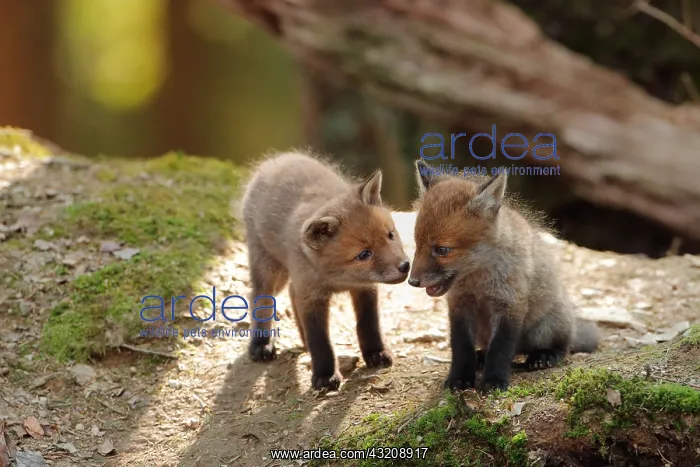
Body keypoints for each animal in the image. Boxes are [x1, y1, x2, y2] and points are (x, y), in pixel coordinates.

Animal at [241, 151, 411, 390]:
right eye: (364, 254)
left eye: (391, 235)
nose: (405, 266)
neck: (338, 278)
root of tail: (278, 159)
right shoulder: (312, 297)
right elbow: (320, 340)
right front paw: (324, 375)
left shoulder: (365, 288)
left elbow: (368, 324)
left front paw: (376, 352)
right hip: (269, 268)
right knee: (260, 297)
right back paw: (261, 343)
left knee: (291, 292)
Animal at [408, 160, 600, 392]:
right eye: (417, 244)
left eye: (442, 250)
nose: (412, 281)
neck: (478, 281)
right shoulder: (459, 305)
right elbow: (461, 347)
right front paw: (460, 378)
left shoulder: (511, 303)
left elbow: (501, 348)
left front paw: (494, 381)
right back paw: (481, 358)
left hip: (547, 327)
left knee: (561, 348)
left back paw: (544, 356)